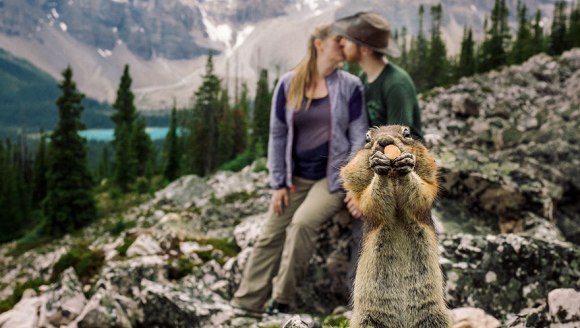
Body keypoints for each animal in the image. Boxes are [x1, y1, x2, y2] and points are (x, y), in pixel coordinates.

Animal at [342, 124, 450, 326]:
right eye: (367, 137)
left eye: (407, 132)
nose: (385, 141)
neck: (393, 178)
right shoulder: (357, 185)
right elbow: (369, 200)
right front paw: (379, 166)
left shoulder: (429, 175)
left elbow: (423, 191)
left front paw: (406, 165)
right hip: (366, 319)